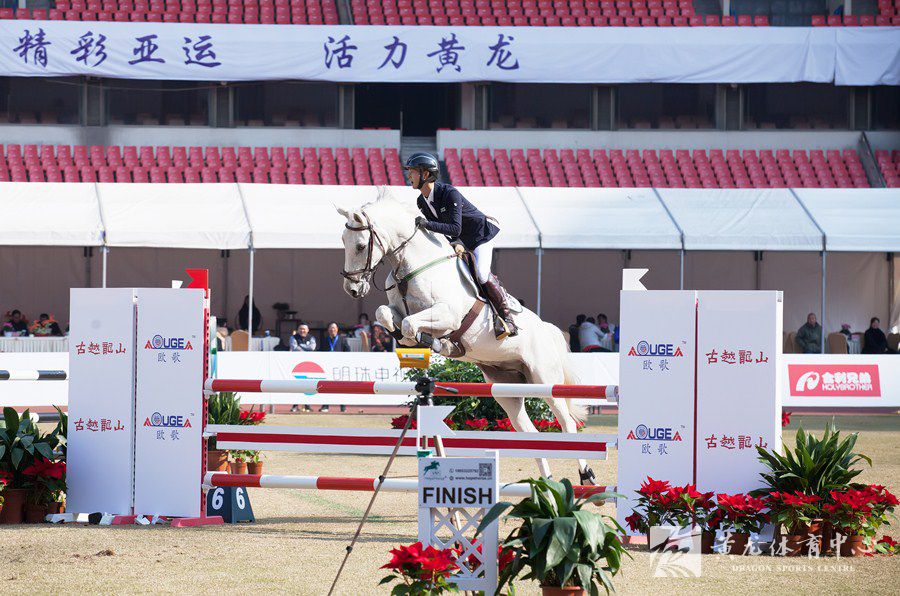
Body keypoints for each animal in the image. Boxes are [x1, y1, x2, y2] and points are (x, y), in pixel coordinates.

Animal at [336, 188, 597, 485]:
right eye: (343, 241)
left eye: (360, 246)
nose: (353, 289)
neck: (413, 265)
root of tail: (548, 329)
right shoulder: (397, 310)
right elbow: (386, 315)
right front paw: (409, 340)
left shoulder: (447, 315)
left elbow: (412, 325)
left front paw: (436, 343)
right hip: (506, 385)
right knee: (528, 432)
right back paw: (547, 483)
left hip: (544, 379)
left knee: (566, 423)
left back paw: (586, 475)